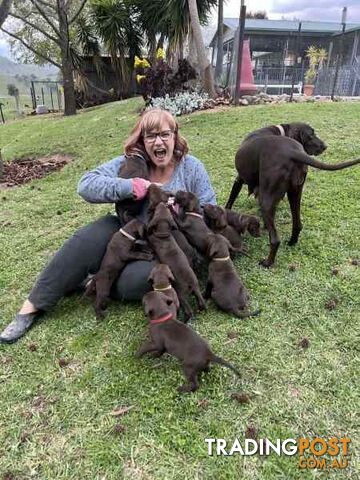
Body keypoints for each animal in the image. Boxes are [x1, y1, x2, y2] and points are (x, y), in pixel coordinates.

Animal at [225, 123, 360, 266]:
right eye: (311, 135)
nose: (325, 146)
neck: (280, 131)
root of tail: (292, 152)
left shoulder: (239, 180)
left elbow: (230, 199)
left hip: (266, 201)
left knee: (275, 240)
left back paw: (268, 263)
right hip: (295, 194)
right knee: (297, 224)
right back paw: (291, 242)